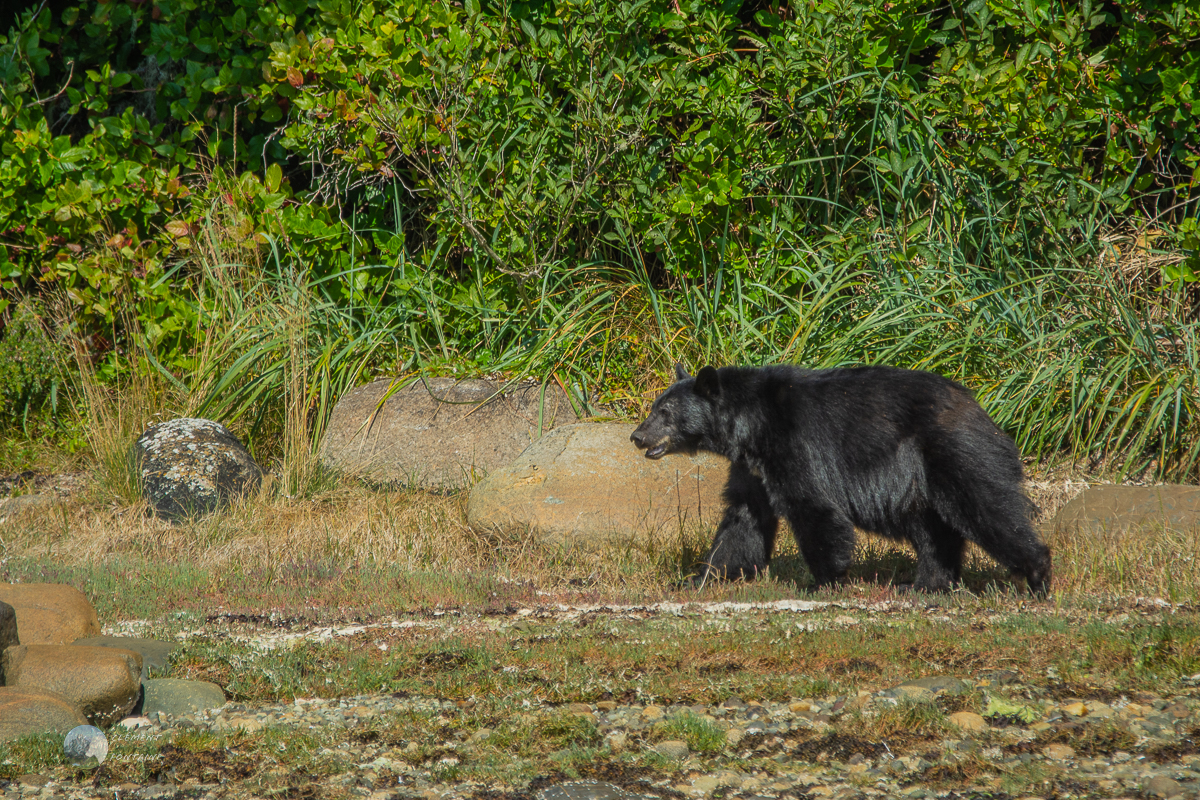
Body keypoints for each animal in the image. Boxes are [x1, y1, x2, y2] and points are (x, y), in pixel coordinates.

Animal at [628, 362, 1051, 594]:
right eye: (654, 407)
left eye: (665, 412)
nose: (637, 436)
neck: (749, 426)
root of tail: (980, 411)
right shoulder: (751, 467)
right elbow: (742, 519)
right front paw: (700, 576)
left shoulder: (794, 444)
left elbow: (812, 505)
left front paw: (824, 580)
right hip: (918, 479)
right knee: (933, 529)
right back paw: (925, 583)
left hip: (951, 452)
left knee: (986, 506)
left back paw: (1037, 575)